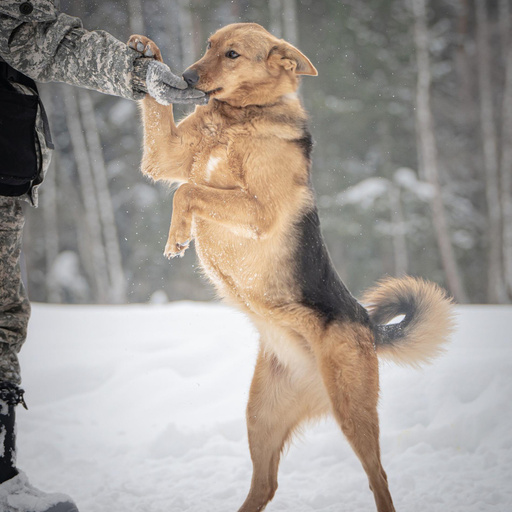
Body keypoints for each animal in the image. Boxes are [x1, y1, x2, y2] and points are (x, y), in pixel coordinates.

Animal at [128, 23, 454, 512]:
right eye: (208, 46)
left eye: (232, 54)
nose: (185, 78)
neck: (241, 117)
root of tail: (368, 325)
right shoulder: (164, 156)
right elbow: (172, 154)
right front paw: (146, 49)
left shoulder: (257, 210)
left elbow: (187, 191)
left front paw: (178, 235)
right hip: (261, 417)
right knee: (265, 485)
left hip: (353, 413)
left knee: (379, 479)